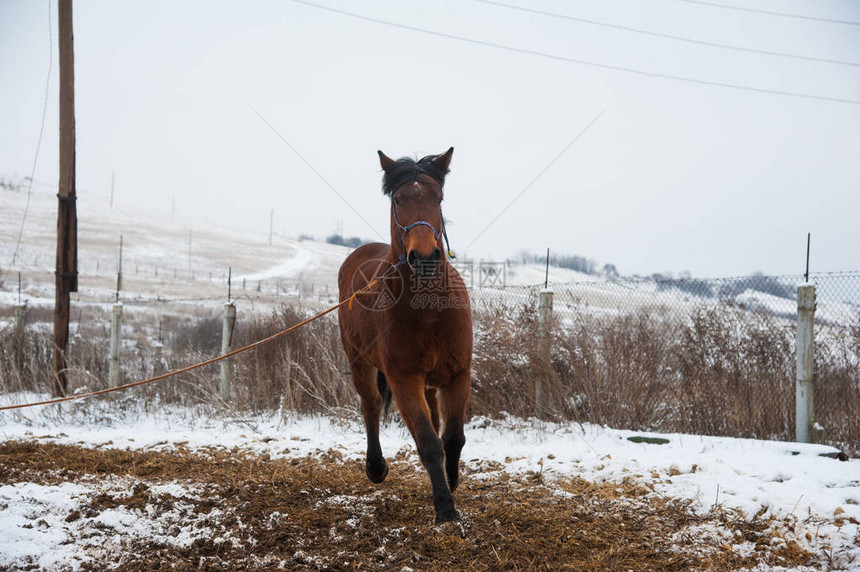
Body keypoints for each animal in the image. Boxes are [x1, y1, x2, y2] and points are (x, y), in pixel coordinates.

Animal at [338, 147, 474, 524]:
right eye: (398, 199)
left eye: (438, 198)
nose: (425, 257)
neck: (429, 311)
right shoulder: (404, 379)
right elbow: (428, 442)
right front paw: (445, 509)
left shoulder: (458, 374)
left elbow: (452, 438)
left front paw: (452, 483)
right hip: (359, 362)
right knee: (370, 405)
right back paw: (375, 467)